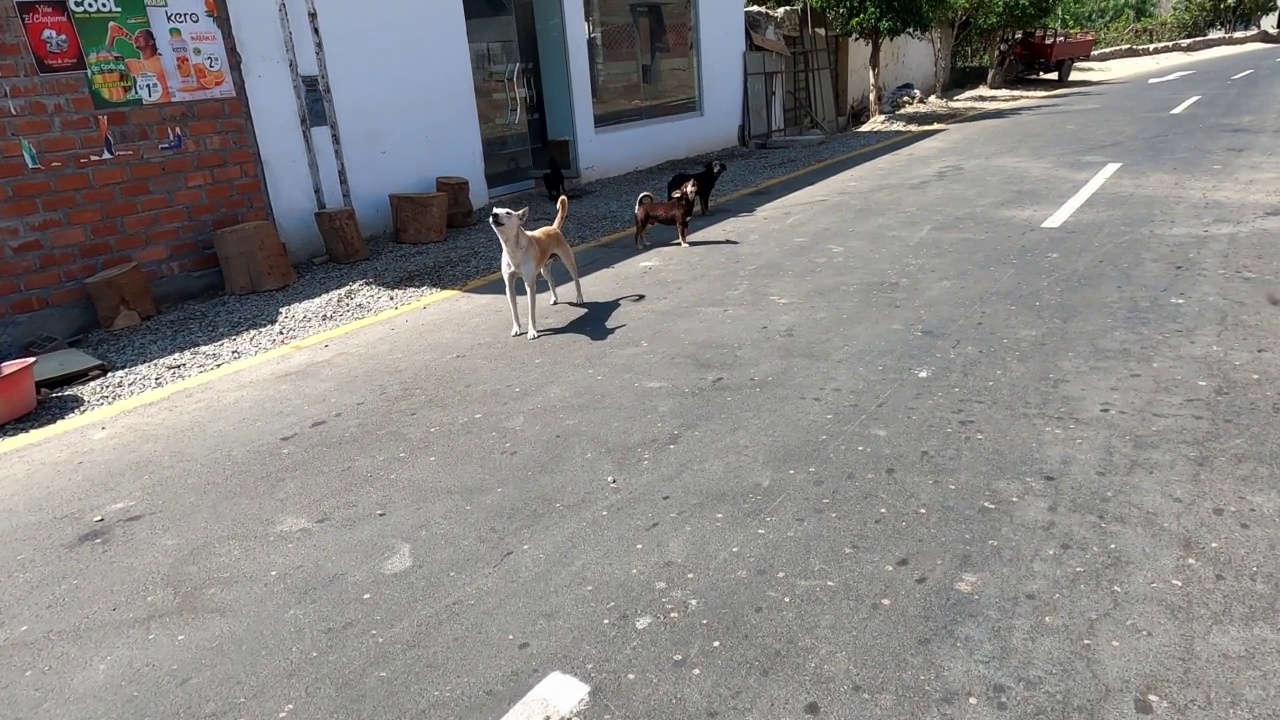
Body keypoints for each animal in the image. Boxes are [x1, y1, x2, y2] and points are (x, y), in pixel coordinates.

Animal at [486, 193, 583, 338]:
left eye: (508, 213)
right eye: (496, 211)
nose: (494, 214)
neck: (513, 249)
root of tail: (553, 228)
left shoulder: (530, 285)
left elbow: (531, 312)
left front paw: (532, 331)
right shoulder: (509, 287)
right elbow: (514, 311)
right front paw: (516, 328)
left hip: (568, 261)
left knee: (576, 280)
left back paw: (579, 297)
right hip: (544, 270)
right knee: (551, 281)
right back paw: (554, 298)